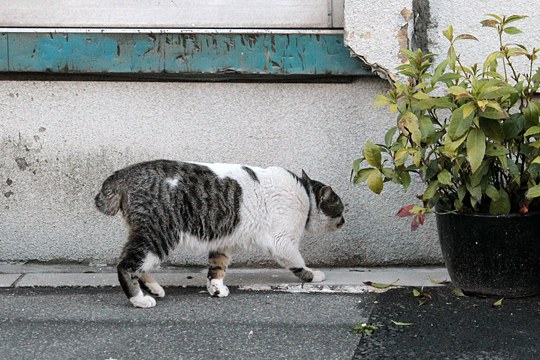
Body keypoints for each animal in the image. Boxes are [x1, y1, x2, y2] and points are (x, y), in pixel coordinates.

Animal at [94, 159, 344, 308]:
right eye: (340, 209)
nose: (344, 220)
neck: (307, 198)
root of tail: (125, 173)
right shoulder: (282, 242)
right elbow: (298, 262)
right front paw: (313, 275)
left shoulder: (224, 243)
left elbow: (217, 267)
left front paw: (215, 288)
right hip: (159, 233)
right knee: (126, 265)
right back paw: (139, 299)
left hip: (148, 234)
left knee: (137, 262)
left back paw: (154, 289)